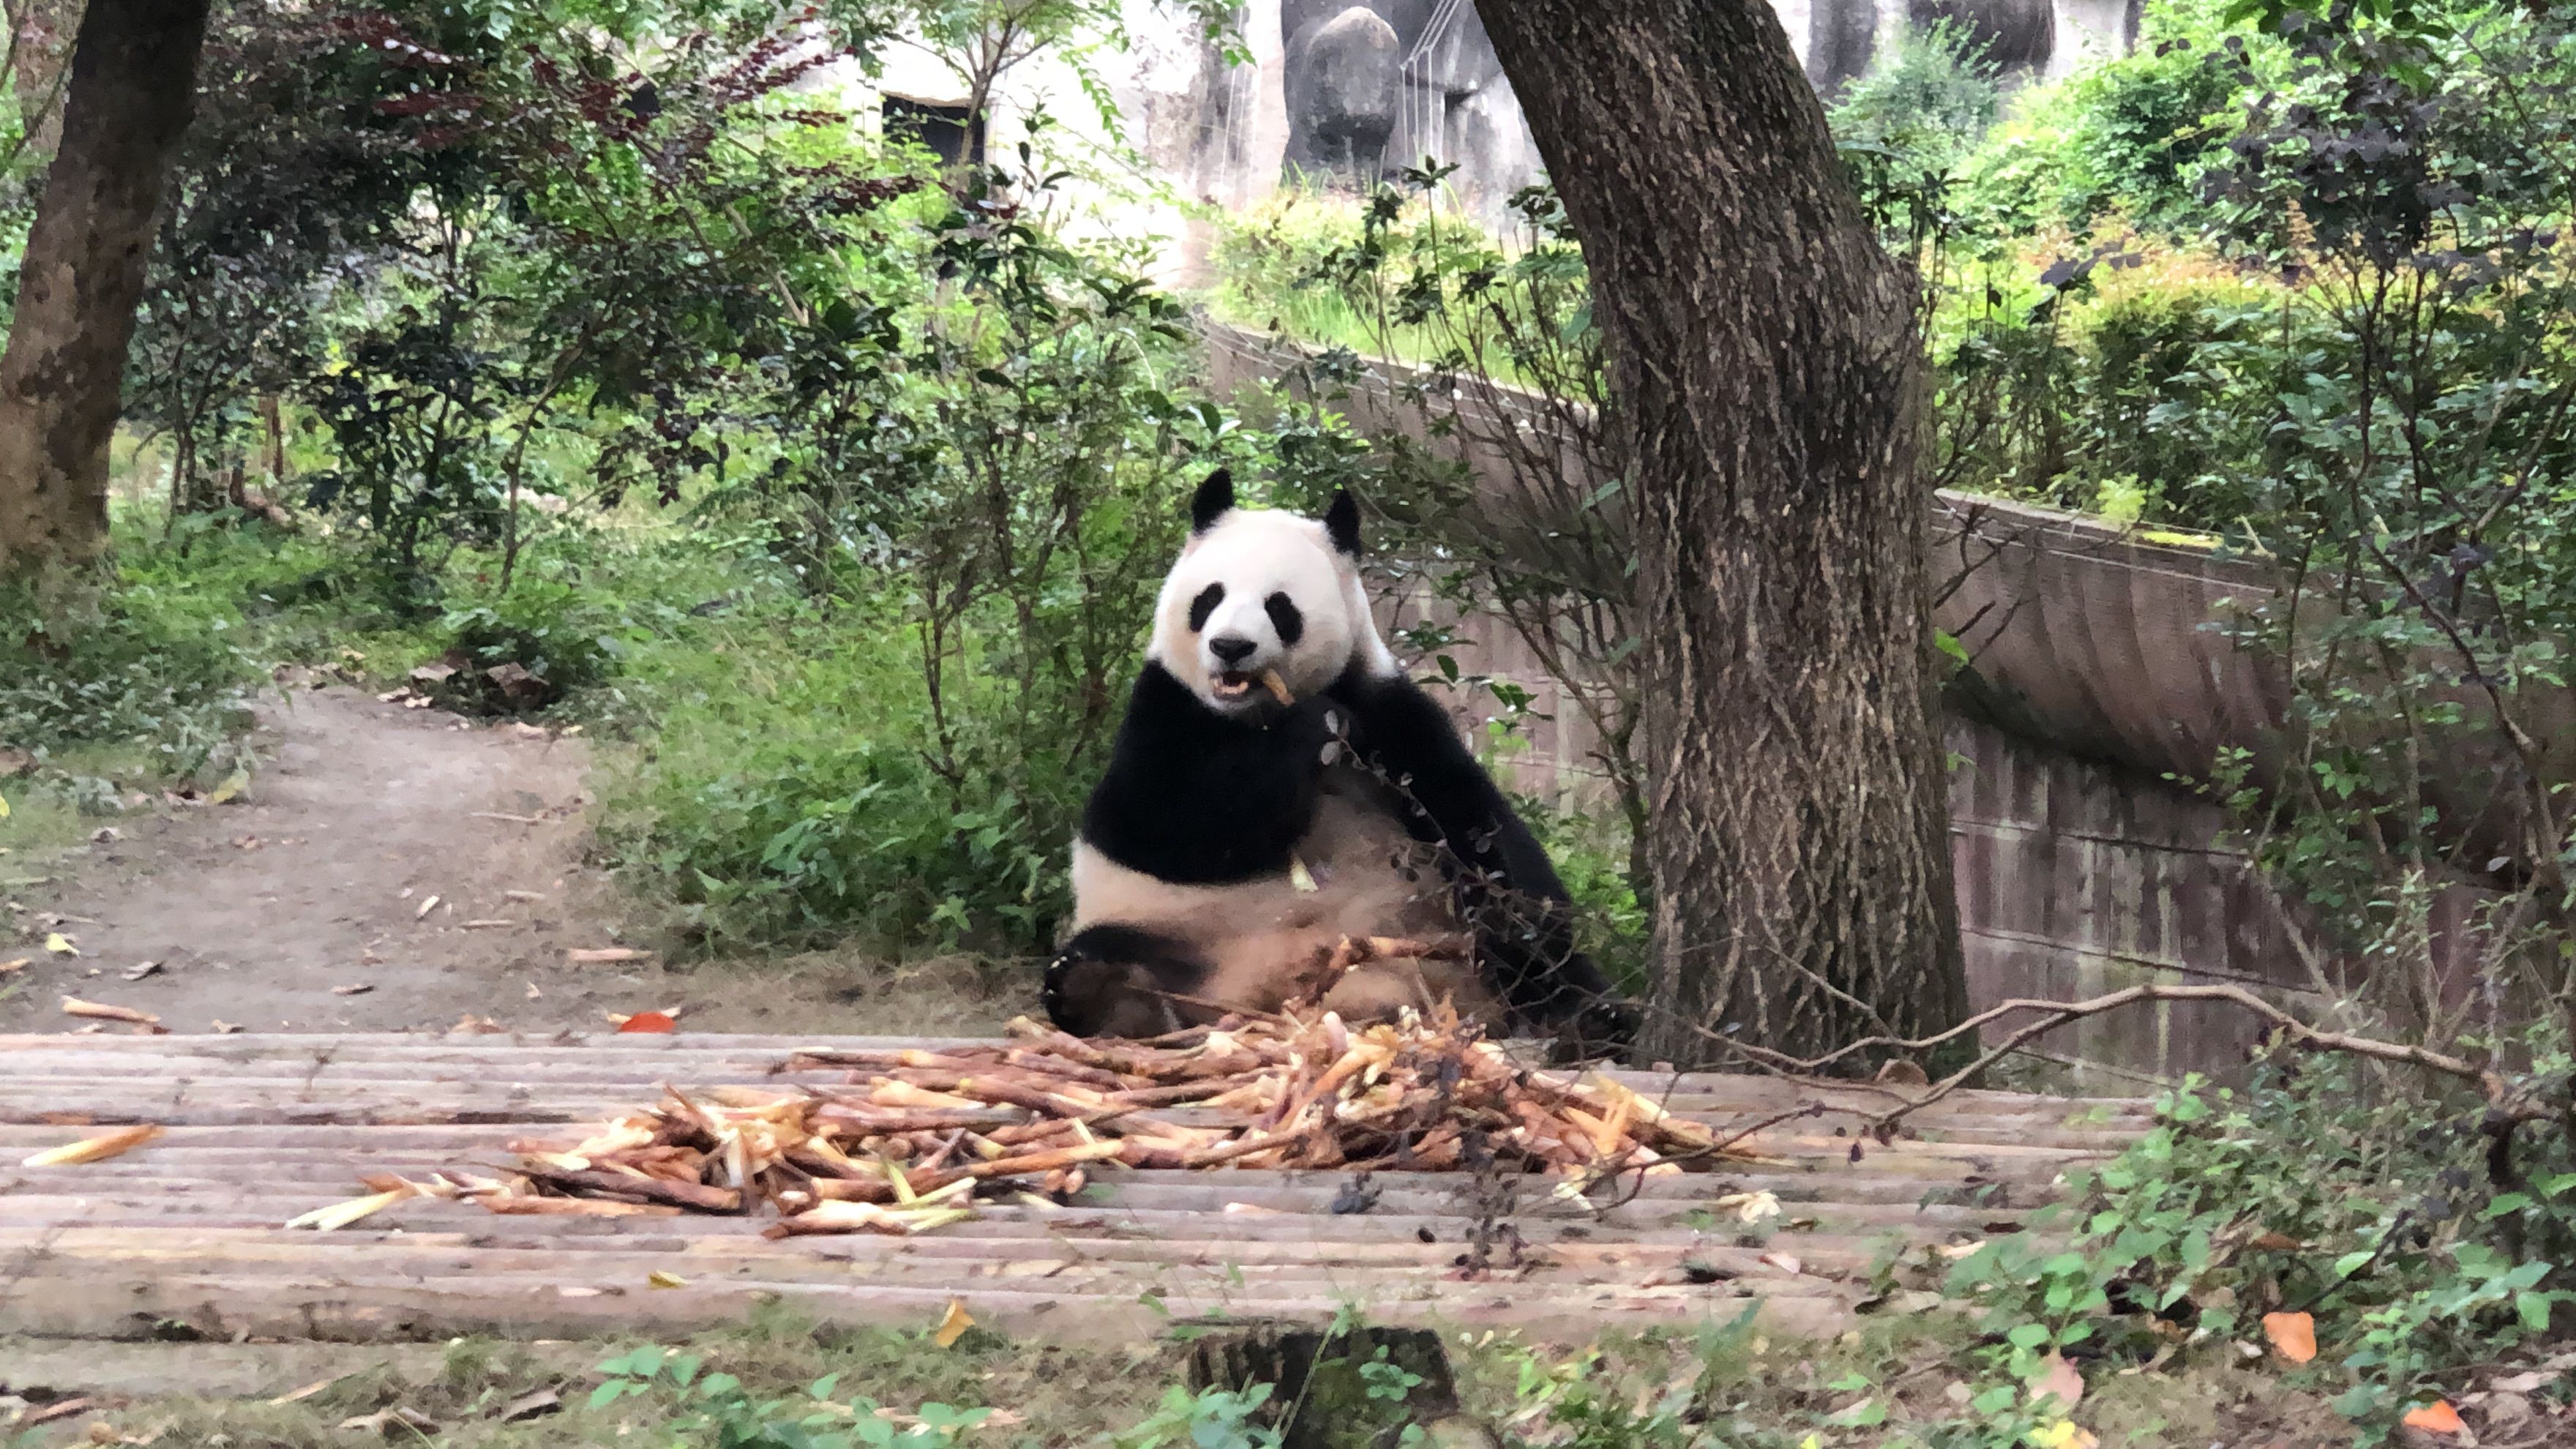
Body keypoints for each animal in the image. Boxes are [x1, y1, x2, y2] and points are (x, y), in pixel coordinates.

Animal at [1025, 474, 1628, 1046]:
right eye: (1209, 598)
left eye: (1279, 606)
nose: (1230, 647)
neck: (1252, 713)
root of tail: (1265, 993)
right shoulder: (1165, 706)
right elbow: (1161, 825)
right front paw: (1313, 726)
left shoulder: (1388, 714)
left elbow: (1480, 835)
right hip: (1169, 930)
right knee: (1091, 957)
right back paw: (1111, 998)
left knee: (1541, 971)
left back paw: (1589, 1022)